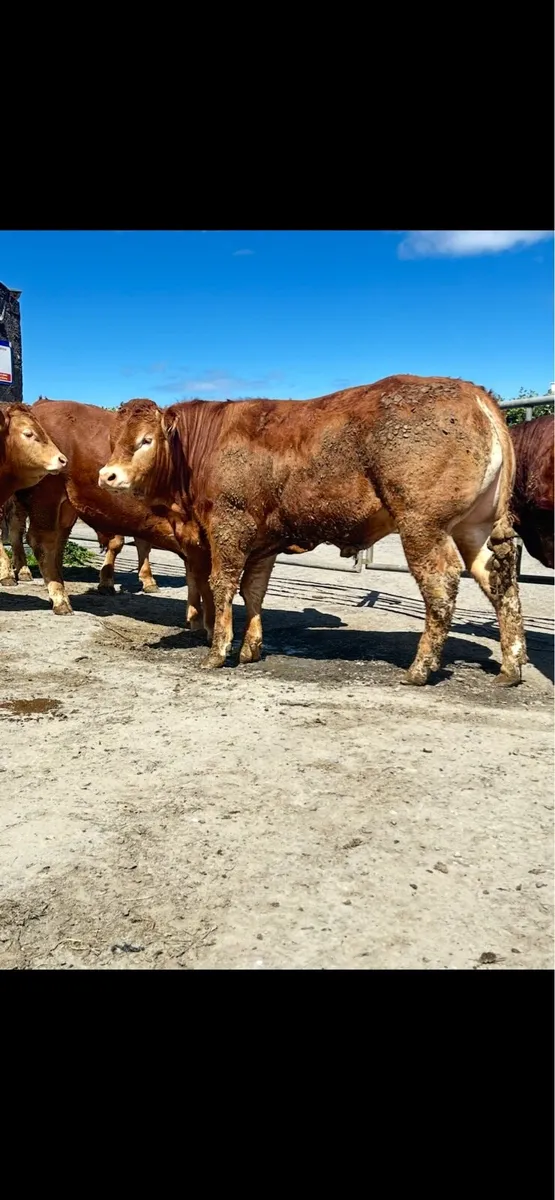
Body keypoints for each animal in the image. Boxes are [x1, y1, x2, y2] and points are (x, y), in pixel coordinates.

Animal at [98, 375, 528, 688]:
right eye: (113, 439)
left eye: (146, 440)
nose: (108, 475)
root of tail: (473, 392)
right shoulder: (265, 540)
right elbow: (254, 589)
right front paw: (251, 648)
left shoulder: (229, 526)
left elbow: (223, 585)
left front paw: (218, 652)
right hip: (476, 525)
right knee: (499, 579)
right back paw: (511, 666)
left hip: (423, 524)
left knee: (441, 584)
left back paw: (420, 669)